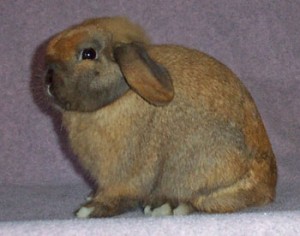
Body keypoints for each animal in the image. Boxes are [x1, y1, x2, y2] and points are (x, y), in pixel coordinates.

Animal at [44, 16, 276, 218]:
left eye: (88, 54)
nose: (48, 78)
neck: (122, 94)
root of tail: (267, 190)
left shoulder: (123, 174)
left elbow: (118, 193)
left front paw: (90, 209)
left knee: (199, 200)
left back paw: (166, 206)